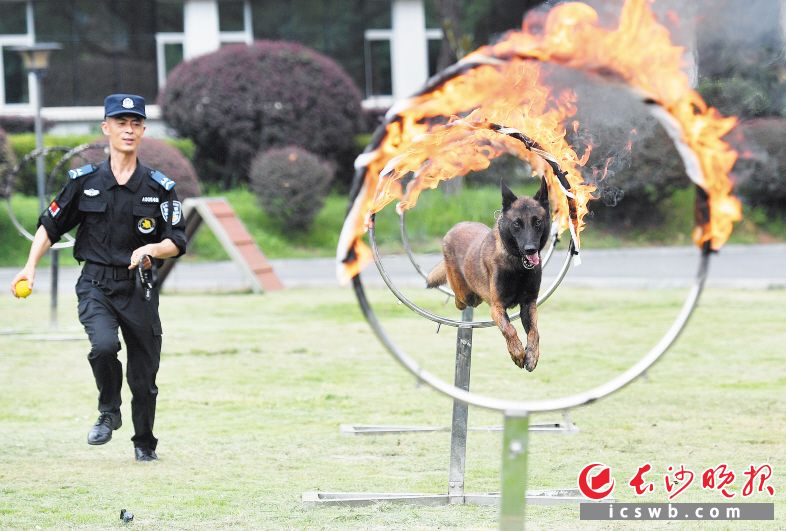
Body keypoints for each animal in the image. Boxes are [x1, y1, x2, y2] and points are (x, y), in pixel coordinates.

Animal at [426, 181, 548, 372]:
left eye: (537, 222)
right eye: (517, 224)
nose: (530, 250)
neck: (517, 266)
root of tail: (455, 227)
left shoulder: (529, 304)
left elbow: (534, 332)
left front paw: (532, 356)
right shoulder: (497, 307)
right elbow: (509, 329)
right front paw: (517, 353)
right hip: (466, 295)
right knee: (460, 299)